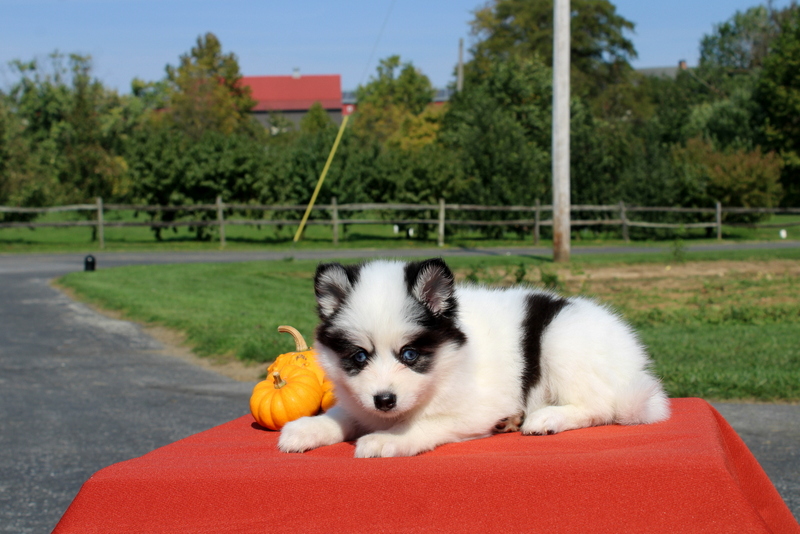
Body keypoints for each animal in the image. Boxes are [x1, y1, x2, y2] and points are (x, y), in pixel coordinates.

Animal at [278, 258, 672, 458]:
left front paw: (386, 439)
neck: (446, 366)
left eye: (410, 354)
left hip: (563, 343)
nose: (385, 400)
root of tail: (632, 352)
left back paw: (547, 418)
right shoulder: (360, 400)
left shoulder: (473, 408)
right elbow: (344, 413)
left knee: (600, 406)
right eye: (359, 357)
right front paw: (308, 428)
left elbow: (424, 423)